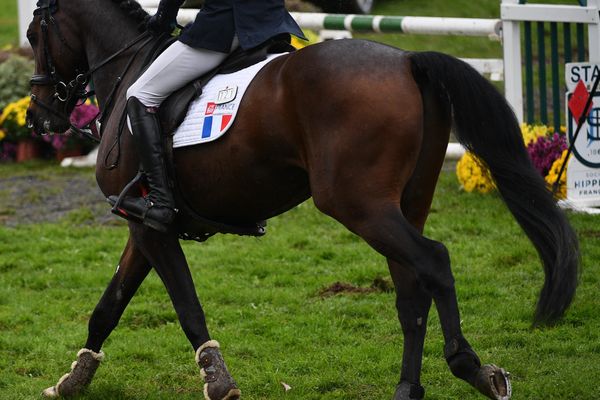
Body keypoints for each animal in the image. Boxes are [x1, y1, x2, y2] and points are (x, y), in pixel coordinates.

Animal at [25, 0, 580, 398]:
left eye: (33, 35)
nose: (38, 117)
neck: (129, 71)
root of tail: (407, 61)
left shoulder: (150, 222)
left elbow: (185, 304)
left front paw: (217, 379)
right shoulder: (145, 225)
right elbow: (109, 306)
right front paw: (74, 379)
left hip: (358, 204)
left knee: (434, 262)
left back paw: (470, 367)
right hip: (403, 203)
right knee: (411, 285)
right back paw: (409, 388)